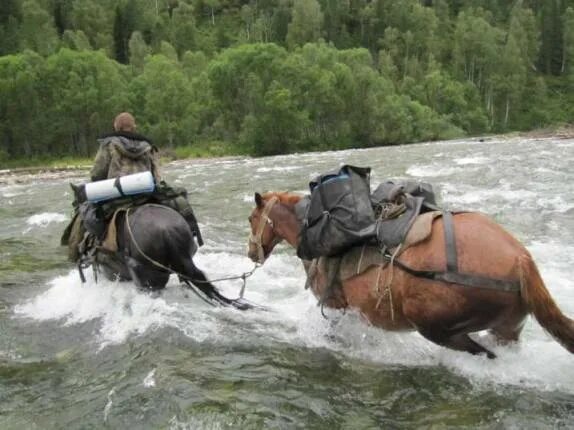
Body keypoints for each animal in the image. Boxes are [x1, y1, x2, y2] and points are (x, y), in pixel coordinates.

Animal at [248, 193, 574, 358]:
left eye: (251, 218)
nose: (252, 253)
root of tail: (520, 259)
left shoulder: (335, 307)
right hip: (507, 329)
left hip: (436, 327)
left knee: (482, 354)